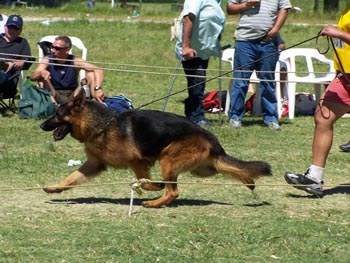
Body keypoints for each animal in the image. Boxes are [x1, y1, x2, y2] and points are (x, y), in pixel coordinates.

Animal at [40, 89, 270, 209]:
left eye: (57, 114)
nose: (42, 125)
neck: (102, 125)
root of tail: (211, 139)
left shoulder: (138, 163)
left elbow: (146, 181)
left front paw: (152, 186)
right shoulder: (94, 165)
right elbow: (71, 178)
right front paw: (54, 187)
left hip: (168, 160)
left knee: (173, 191)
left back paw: (154, 202)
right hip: (205, 168)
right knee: (229, 168)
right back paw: (249, 180)